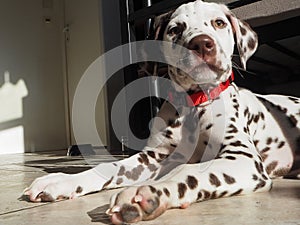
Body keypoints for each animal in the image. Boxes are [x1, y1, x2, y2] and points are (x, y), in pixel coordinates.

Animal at [24, 0, 298, 224]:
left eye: (219, 23)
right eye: (175, 29)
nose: (201, 44)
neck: (193, 105)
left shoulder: (243, 159)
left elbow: (188, 171)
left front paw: (148, 192)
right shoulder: (153, 157)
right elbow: (111, 167)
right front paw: (62, 180)